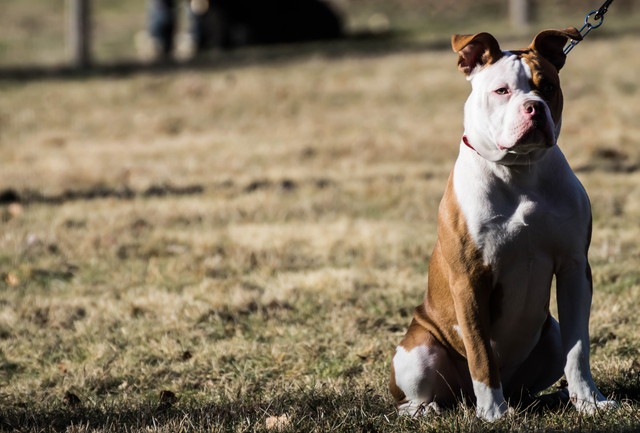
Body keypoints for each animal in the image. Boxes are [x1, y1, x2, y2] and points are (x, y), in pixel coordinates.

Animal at [388, 28, 616, 420]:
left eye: (548, 86)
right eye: (502, 91)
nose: (534, 107)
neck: (518, 170)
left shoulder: (573, 267)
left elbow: (578, 348)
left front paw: (590, 401)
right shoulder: (469, 279)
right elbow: (481, 353)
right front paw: (493, 413)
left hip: (549, 335)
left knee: (535, 377)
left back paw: (549, 398)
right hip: (418, 353)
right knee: (421, 395)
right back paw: (431, 408)